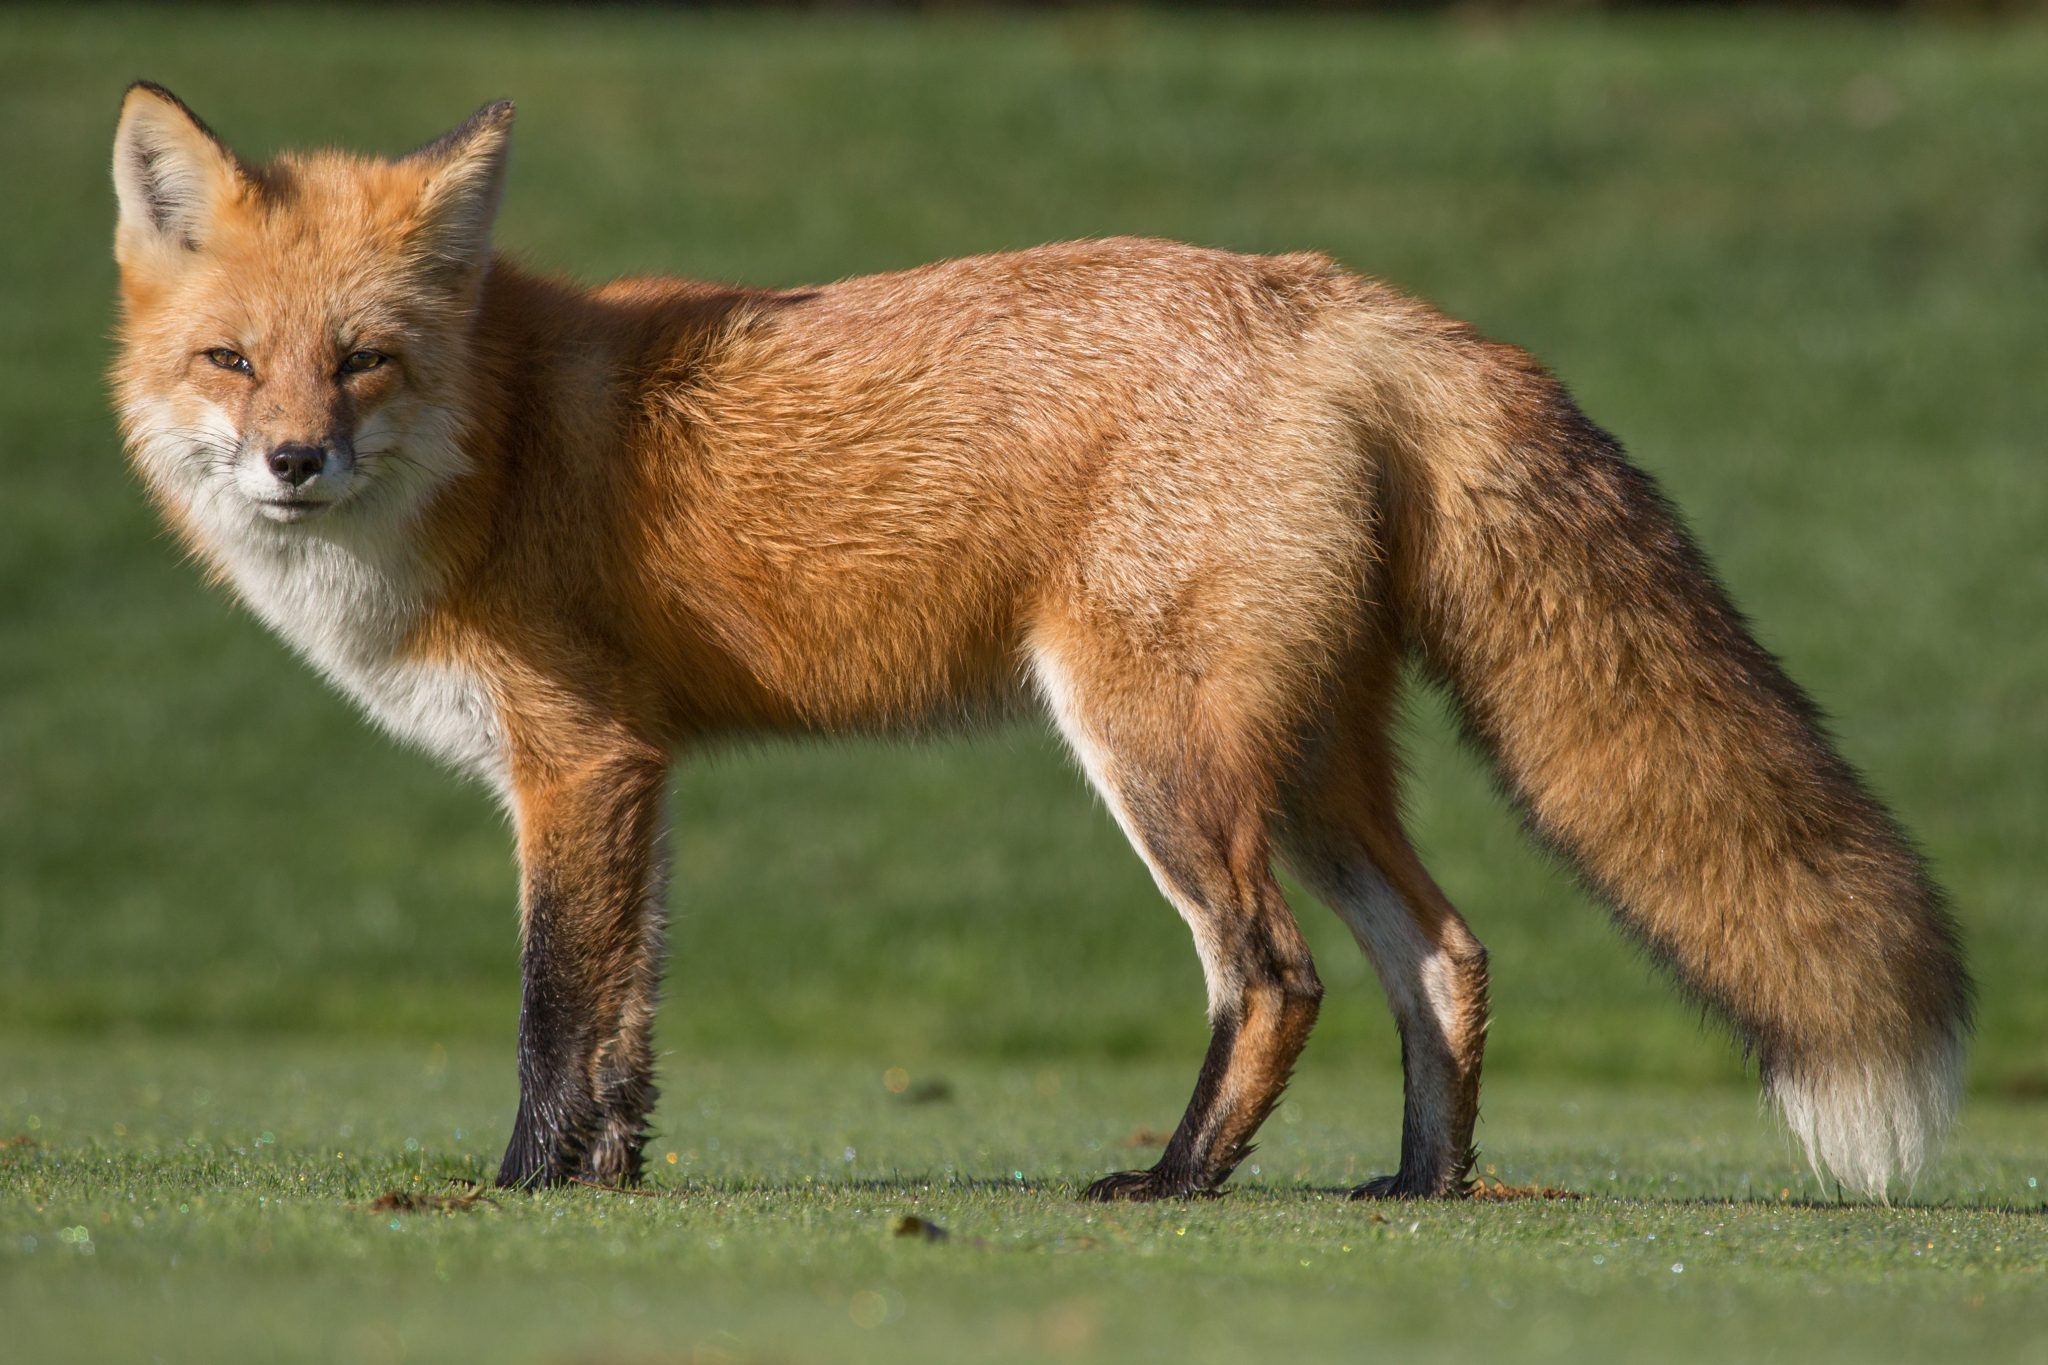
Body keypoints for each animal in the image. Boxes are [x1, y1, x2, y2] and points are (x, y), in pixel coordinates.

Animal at [109, 83, 1970, 1201]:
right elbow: (627, 1026)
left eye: (364, 361)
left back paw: (1175, 1182)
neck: (490, 452)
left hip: (1159, 746)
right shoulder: (636, 782)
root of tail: (1338, 295)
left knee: (1275, 973)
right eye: (231, 361)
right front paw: (611, 1184)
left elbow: (553, 1014)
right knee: (1443, 953)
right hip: (1308, 759)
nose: (293, 462)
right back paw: (1418, 1186)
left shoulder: (581, 765)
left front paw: (516, 1190)